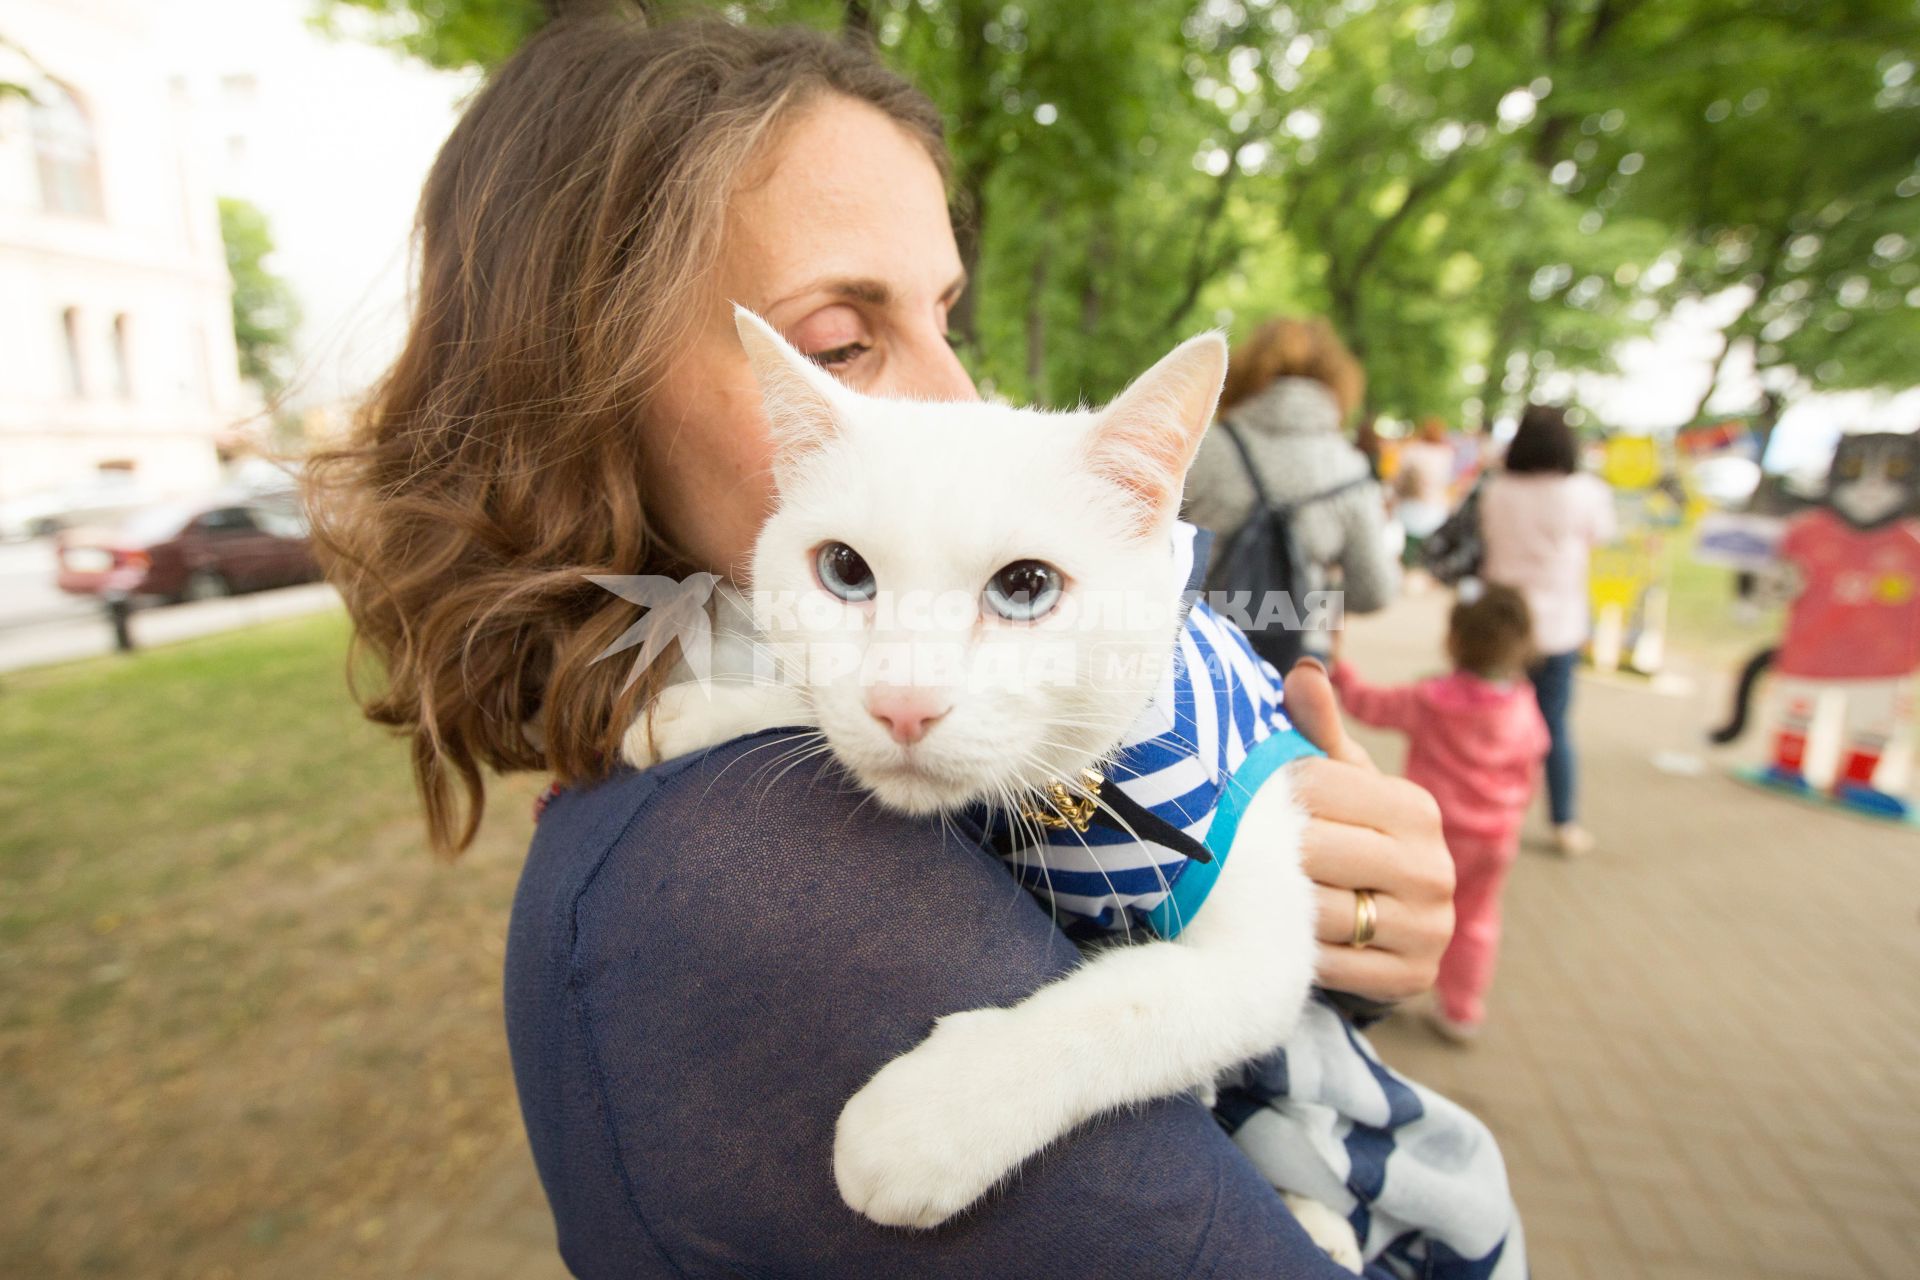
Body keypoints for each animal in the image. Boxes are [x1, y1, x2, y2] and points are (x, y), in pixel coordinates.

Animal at [622, 312, 1359, 1274]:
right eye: (844, 571)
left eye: (1026, 586)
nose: (904, 705)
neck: (1073, 788)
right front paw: (713, 705)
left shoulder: (1262, 961)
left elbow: (1135, 1000)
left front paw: (934, 1120)